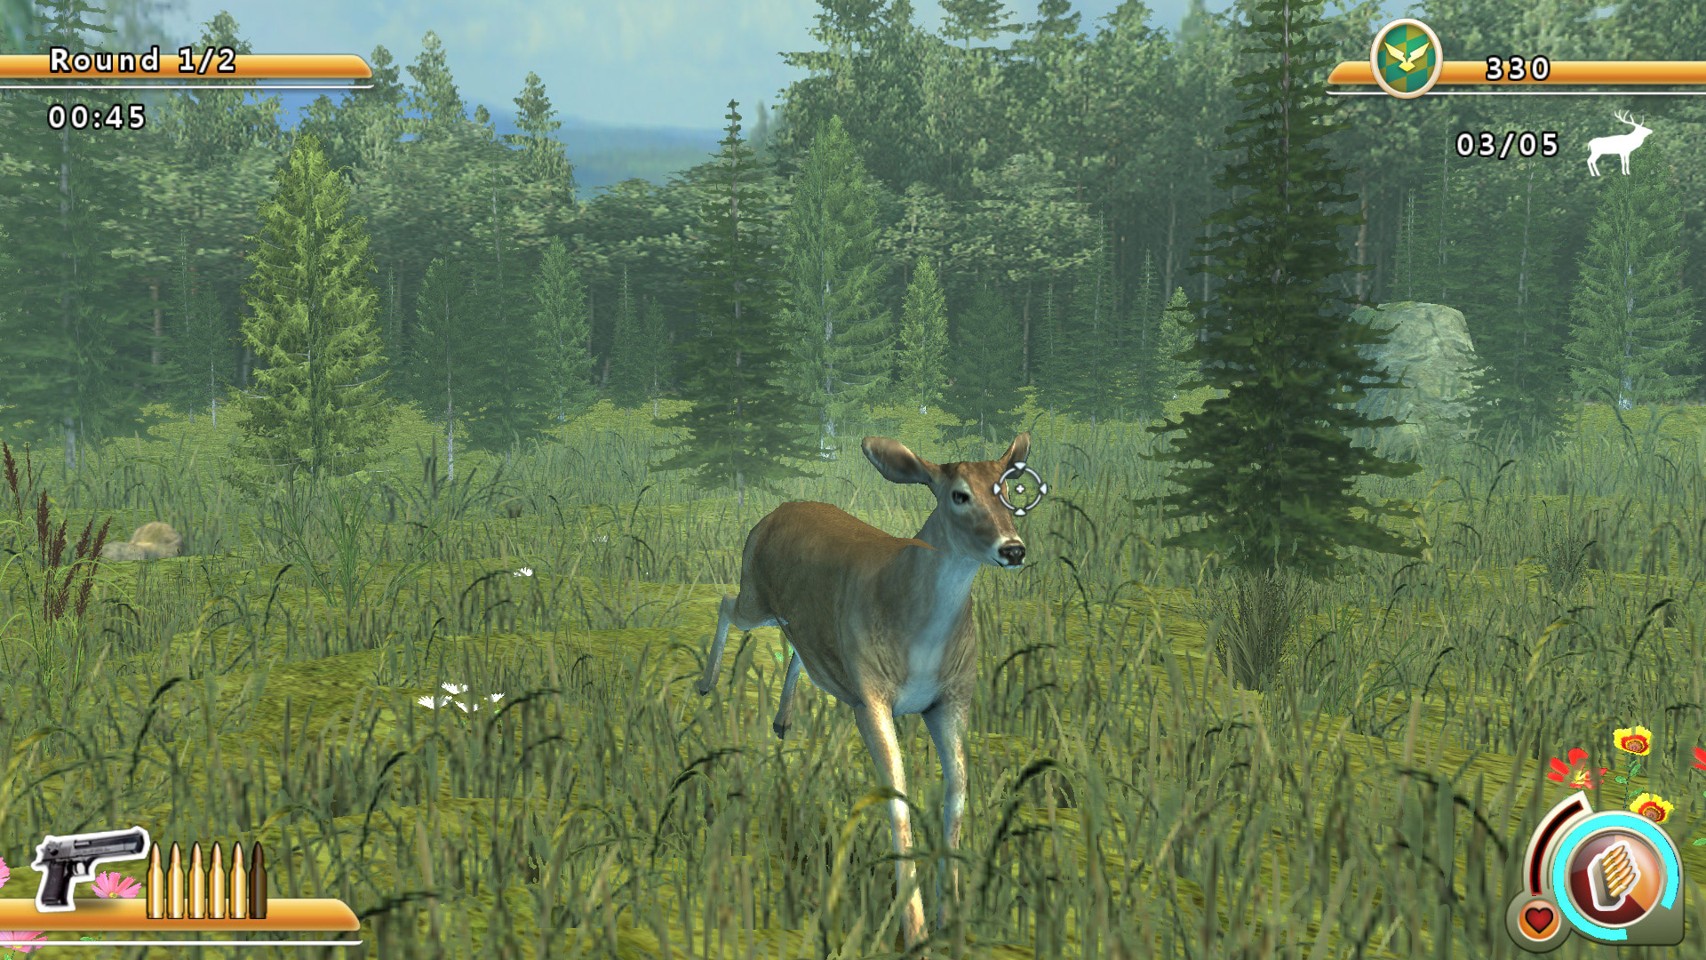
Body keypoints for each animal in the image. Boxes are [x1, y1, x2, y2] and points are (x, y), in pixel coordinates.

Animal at [696, 433, 1033, 950]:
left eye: (1010, 492)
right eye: (959, 495)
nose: (1013, 549)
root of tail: (774, 512)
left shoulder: (953, 698)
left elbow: (957, 791)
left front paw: (951, 919)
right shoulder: (872, 697)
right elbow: (897, 793)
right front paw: (913, 930)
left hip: (800, 619)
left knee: (798, 648)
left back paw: (782, 720)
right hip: (755, 591)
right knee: (726, 603)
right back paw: (706, 682)